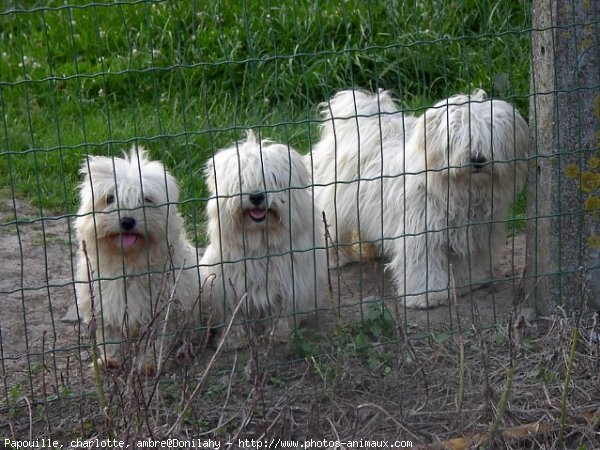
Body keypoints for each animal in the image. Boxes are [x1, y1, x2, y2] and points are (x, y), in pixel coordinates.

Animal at [74, 146, 202, 370]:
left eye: (147, 199)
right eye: (110, 198)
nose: (127, 221)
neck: (128, 263)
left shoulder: (163, 312)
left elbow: (155, 340)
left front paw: (149, 364)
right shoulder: (102, 307)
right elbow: (109, 338)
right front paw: (110, 359)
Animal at [199, 130, 326, 348]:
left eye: (273, 178)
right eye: (241, 179)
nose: (256, 197)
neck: (259, 241)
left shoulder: (290, 285)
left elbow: (281, 311)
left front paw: (278, 334)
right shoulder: (228, 288)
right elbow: (234, 315)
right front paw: (235, 340)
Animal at [312, 89, 528, 310]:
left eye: (490, 134)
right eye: (459, 137)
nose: (478, 159)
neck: (460, 189)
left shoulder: (476, 232)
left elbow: (468, 261)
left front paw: (467, 283)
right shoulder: (422, 233)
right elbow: (424, 265)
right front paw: (429, 295)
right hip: (332, 205)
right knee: (331, 230)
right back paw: (334, 258)